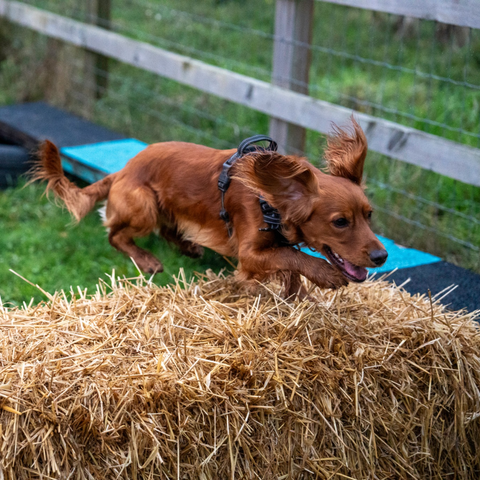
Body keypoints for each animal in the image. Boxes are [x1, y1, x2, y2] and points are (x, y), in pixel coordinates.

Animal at [32, 117, 386, 296]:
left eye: (369, 215)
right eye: (340, 222)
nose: (382, 257)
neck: (269, 196)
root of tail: (122, 169)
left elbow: (289, 262)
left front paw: (297, 293)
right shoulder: (249, 253)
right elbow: (292, 256)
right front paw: (324, 275)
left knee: (167, 230)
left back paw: (189, 247)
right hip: (144, 204)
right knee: (116, 235)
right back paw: (148, 261)